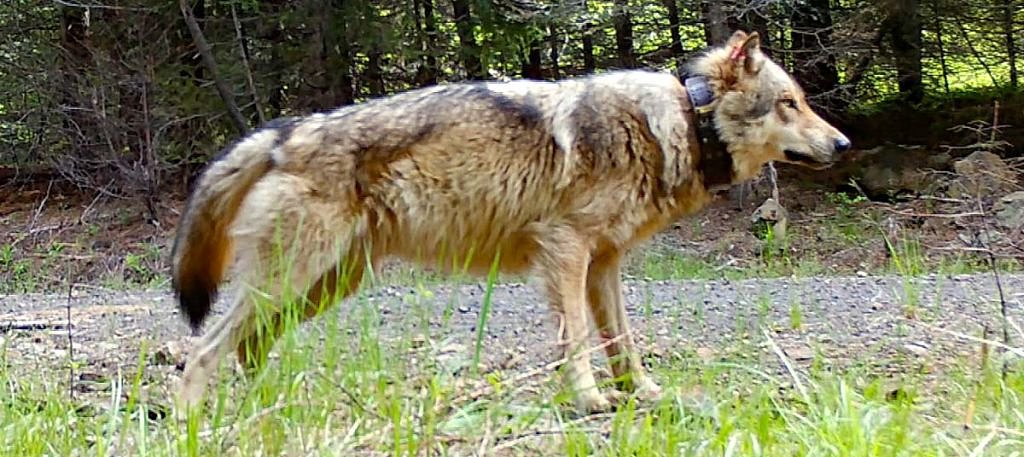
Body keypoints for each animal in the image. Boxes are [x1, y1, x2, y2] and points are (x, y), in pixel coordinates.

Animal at [170, 30, 850, 414]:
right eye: (790, 103)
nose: (844, 144)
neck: (685, 118)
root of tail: (283, 134)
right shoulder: (566, 252)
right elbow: (578, 341)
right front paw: (589, 400)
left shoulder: (604, 266)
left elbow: (623, 343)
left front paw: (645, 396)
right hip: (290, 282)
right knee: (203, 350)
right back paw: (192, 422)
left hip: (321, 286)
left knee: (248, 347)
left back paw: (278, 408)